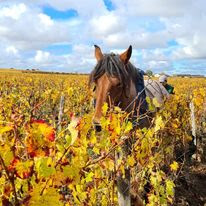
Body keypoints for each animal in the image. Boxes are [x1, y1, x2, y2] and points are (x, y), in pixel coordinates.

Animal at [89, 45, 170, 206]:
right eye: (95, 82)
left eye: (118, 84)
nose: (98, 124)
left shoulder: (140, 142)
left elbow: (137, 170)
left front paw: (137, 194)